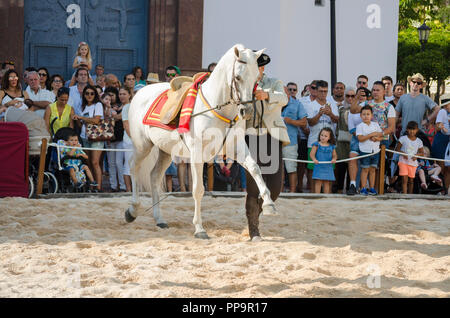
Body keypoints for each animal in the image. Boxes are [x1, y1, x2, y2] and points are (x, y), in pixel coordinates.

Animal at [125, 44, 276, 238]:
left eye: (256, 76)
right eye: (237, 77)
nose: (247, 111)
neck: (217, 108)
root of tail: (141, 92)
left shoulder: (237, 148)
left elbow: (255, 168)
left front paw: (269, 203)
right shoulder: (197, 153)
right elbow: (198, 189)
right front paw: (199, 229)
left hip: (165, 151)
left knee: (154, 176)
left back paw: (159, 219)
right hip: (143, 146)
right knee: (133, 167)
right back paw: (132, 211)